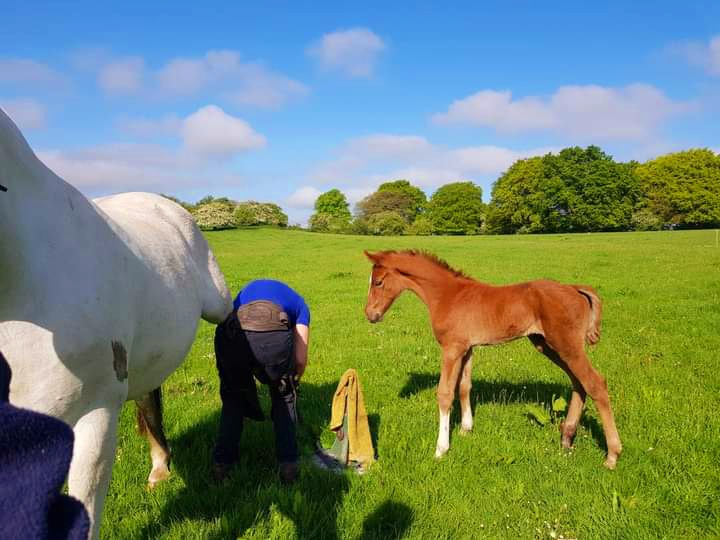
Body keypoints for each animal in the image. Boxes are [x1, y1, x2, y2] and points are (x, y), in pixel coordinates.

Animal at [362, 251, 620, 466]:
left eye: (378, 282)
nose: (370, 315)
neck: (448, 295)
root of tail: (574, 288)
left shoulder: (451, 349)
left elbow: (445, 394)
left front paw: (441, 449)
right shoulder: (467, 349)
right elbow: (464, 387)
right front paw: (466, 429)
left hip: (566, 345)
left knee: (595, 384)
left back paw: (612, 455)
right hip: (547, 345)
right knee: (579, 384)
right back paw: (566, 438)